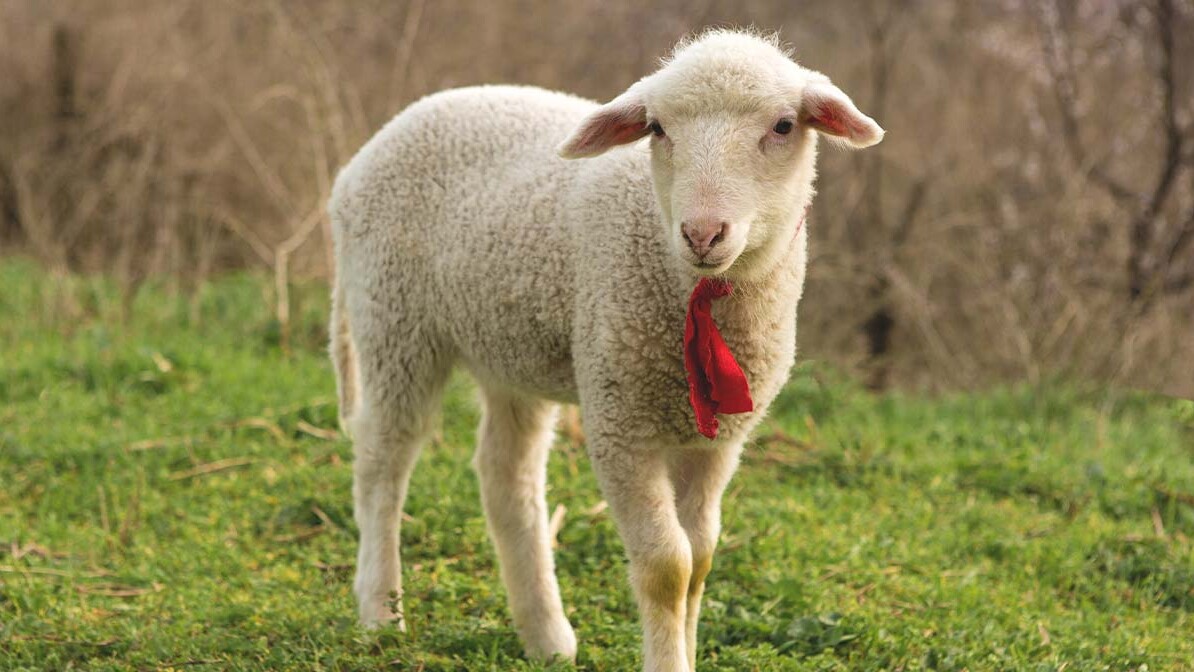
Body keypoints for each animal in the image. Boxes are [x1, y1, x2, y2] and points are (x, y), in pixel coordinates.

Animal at [328, 29, 883, 672]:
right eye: (658, 129)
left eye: (784, 126)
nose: (702, 233)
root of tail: (365, 156)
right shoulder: (621, 422)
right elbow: (668, 566)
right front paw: (667, 660)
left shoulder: (718, 439)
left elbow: (701, 559)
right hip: (393, 319)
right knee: (383, 460)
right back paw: (380, 612)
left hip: (508, 347)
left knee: (506, 476)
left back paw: (545, 635)